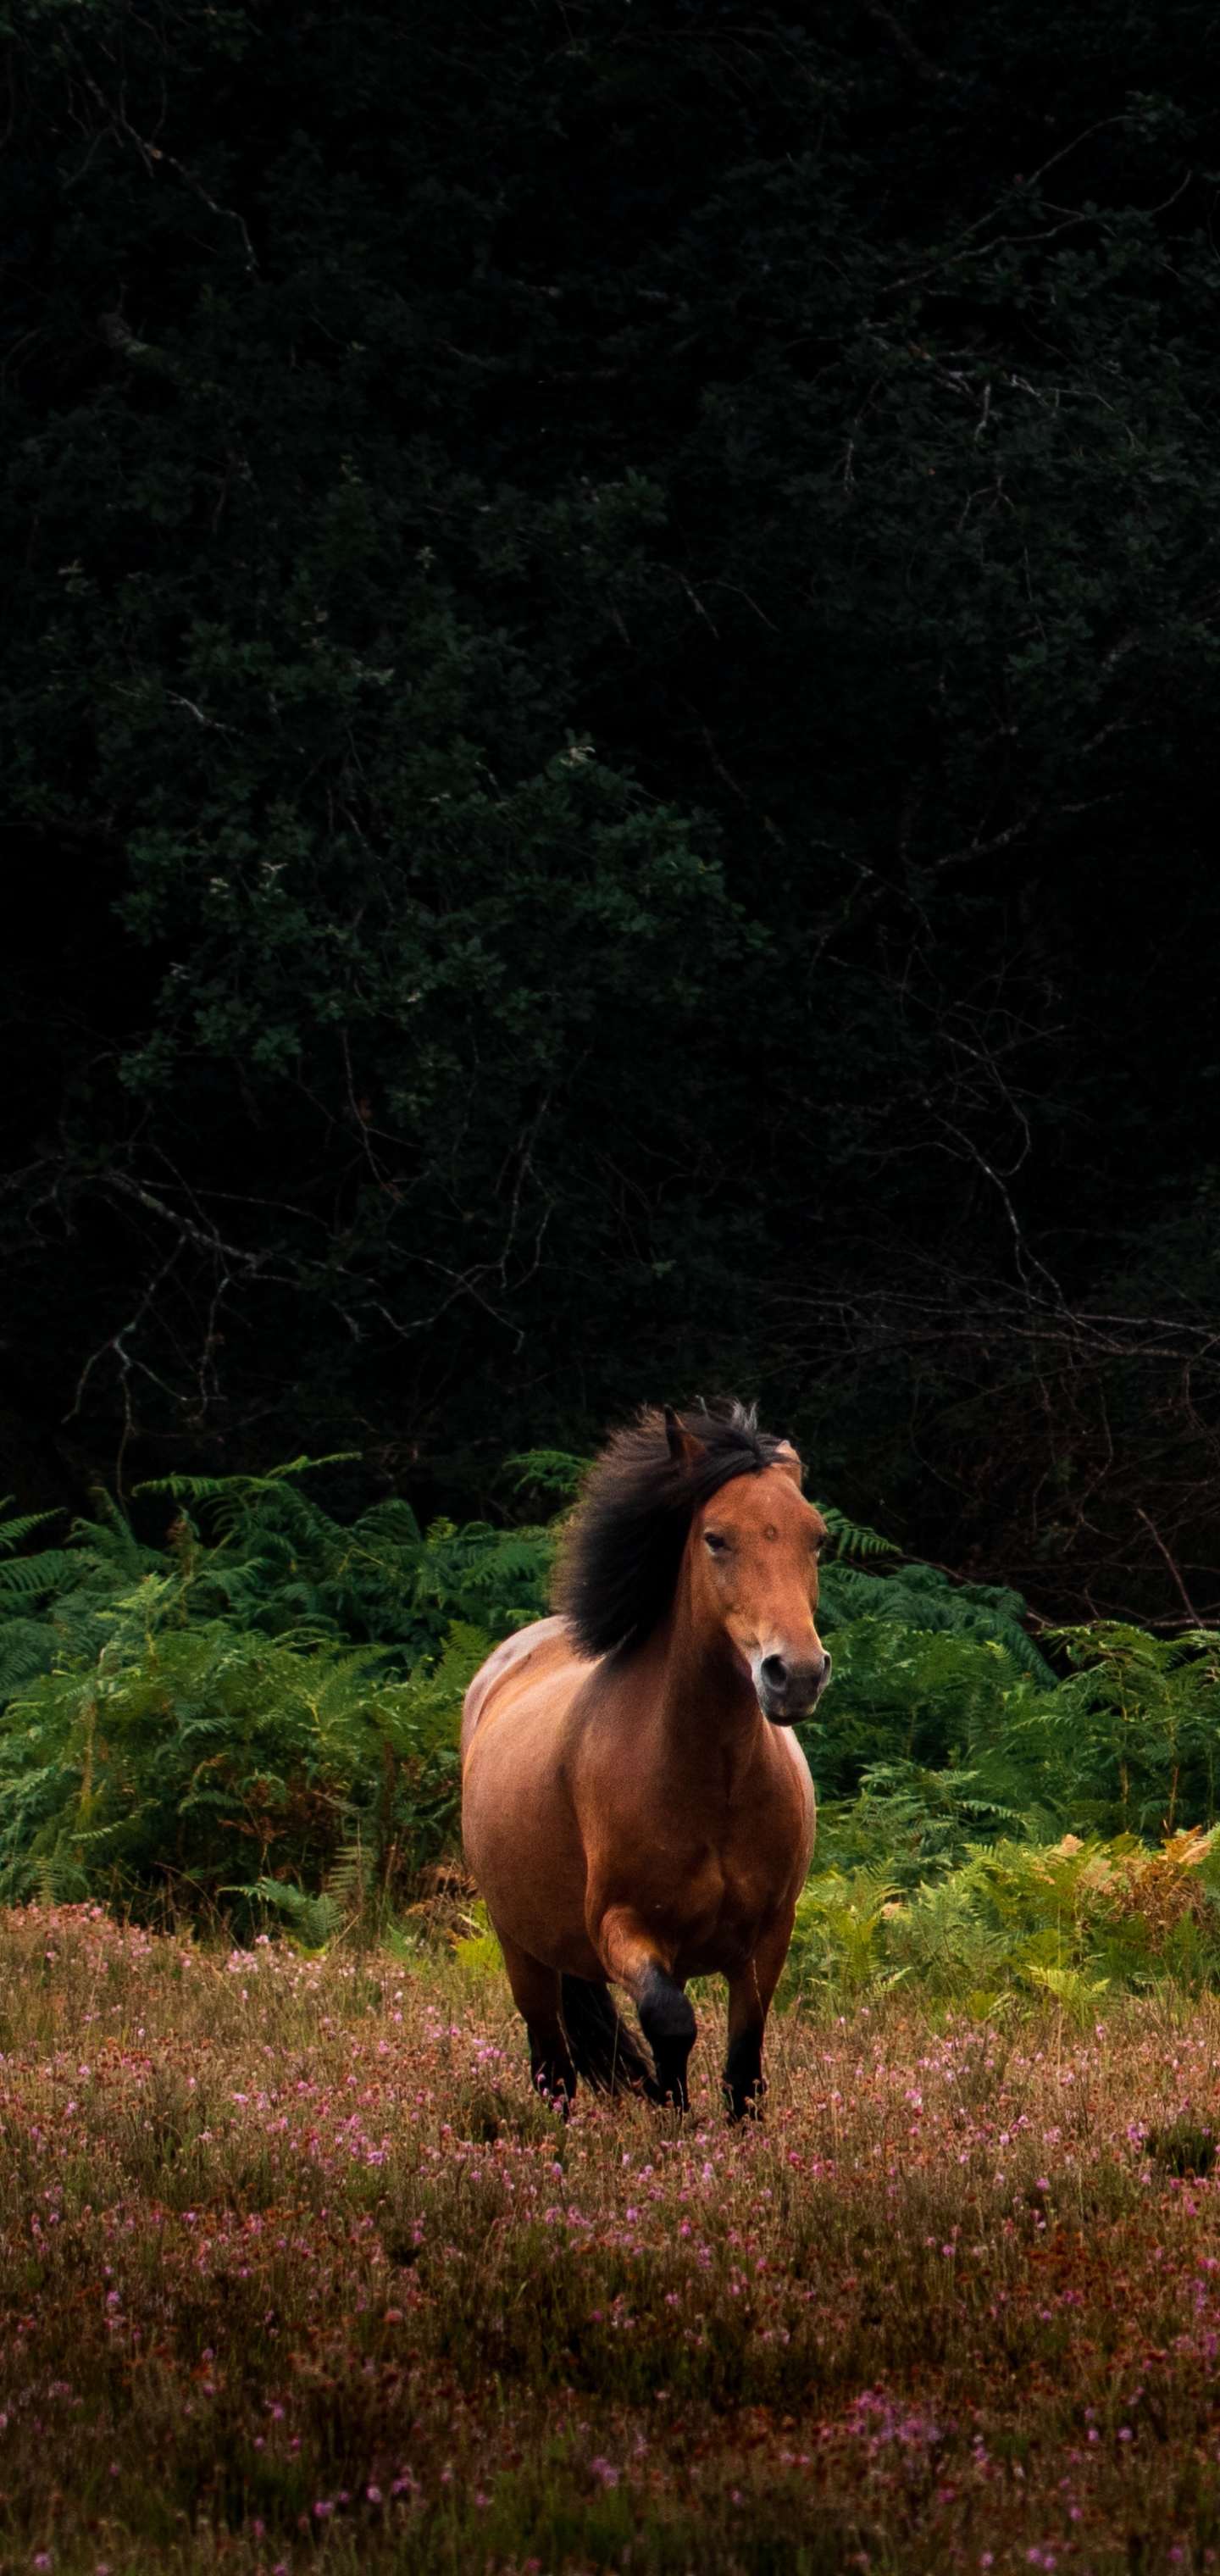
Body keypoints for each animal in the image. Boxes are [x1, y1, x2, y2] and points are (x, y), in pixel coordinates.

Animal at [460, 1411, 829, 2112]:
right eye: (715, 1538)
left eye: (816, 1538)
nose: (794, 1675)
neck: (712, 1782)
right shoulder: (623, 1929)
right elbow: (671, 2025)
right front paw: (670, 2114)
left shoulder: (767, 1938)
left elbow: (744, 2067)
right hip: (523, 1952)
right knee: (554, 2069)